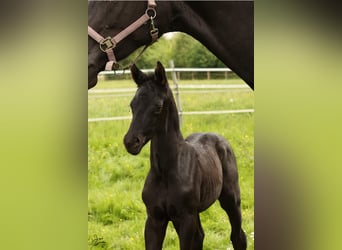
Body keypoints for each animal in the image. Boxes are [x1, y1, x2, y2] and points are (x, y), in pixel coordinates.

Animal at [124, 61, 247, 249]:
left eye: (158, 106)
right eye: (132, 105)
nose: (131, 142)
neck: (165, 172)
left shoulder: (185, 218)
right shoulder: (154, 219)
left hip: (231, 200)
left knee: (238, 236)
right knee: (200, 237)